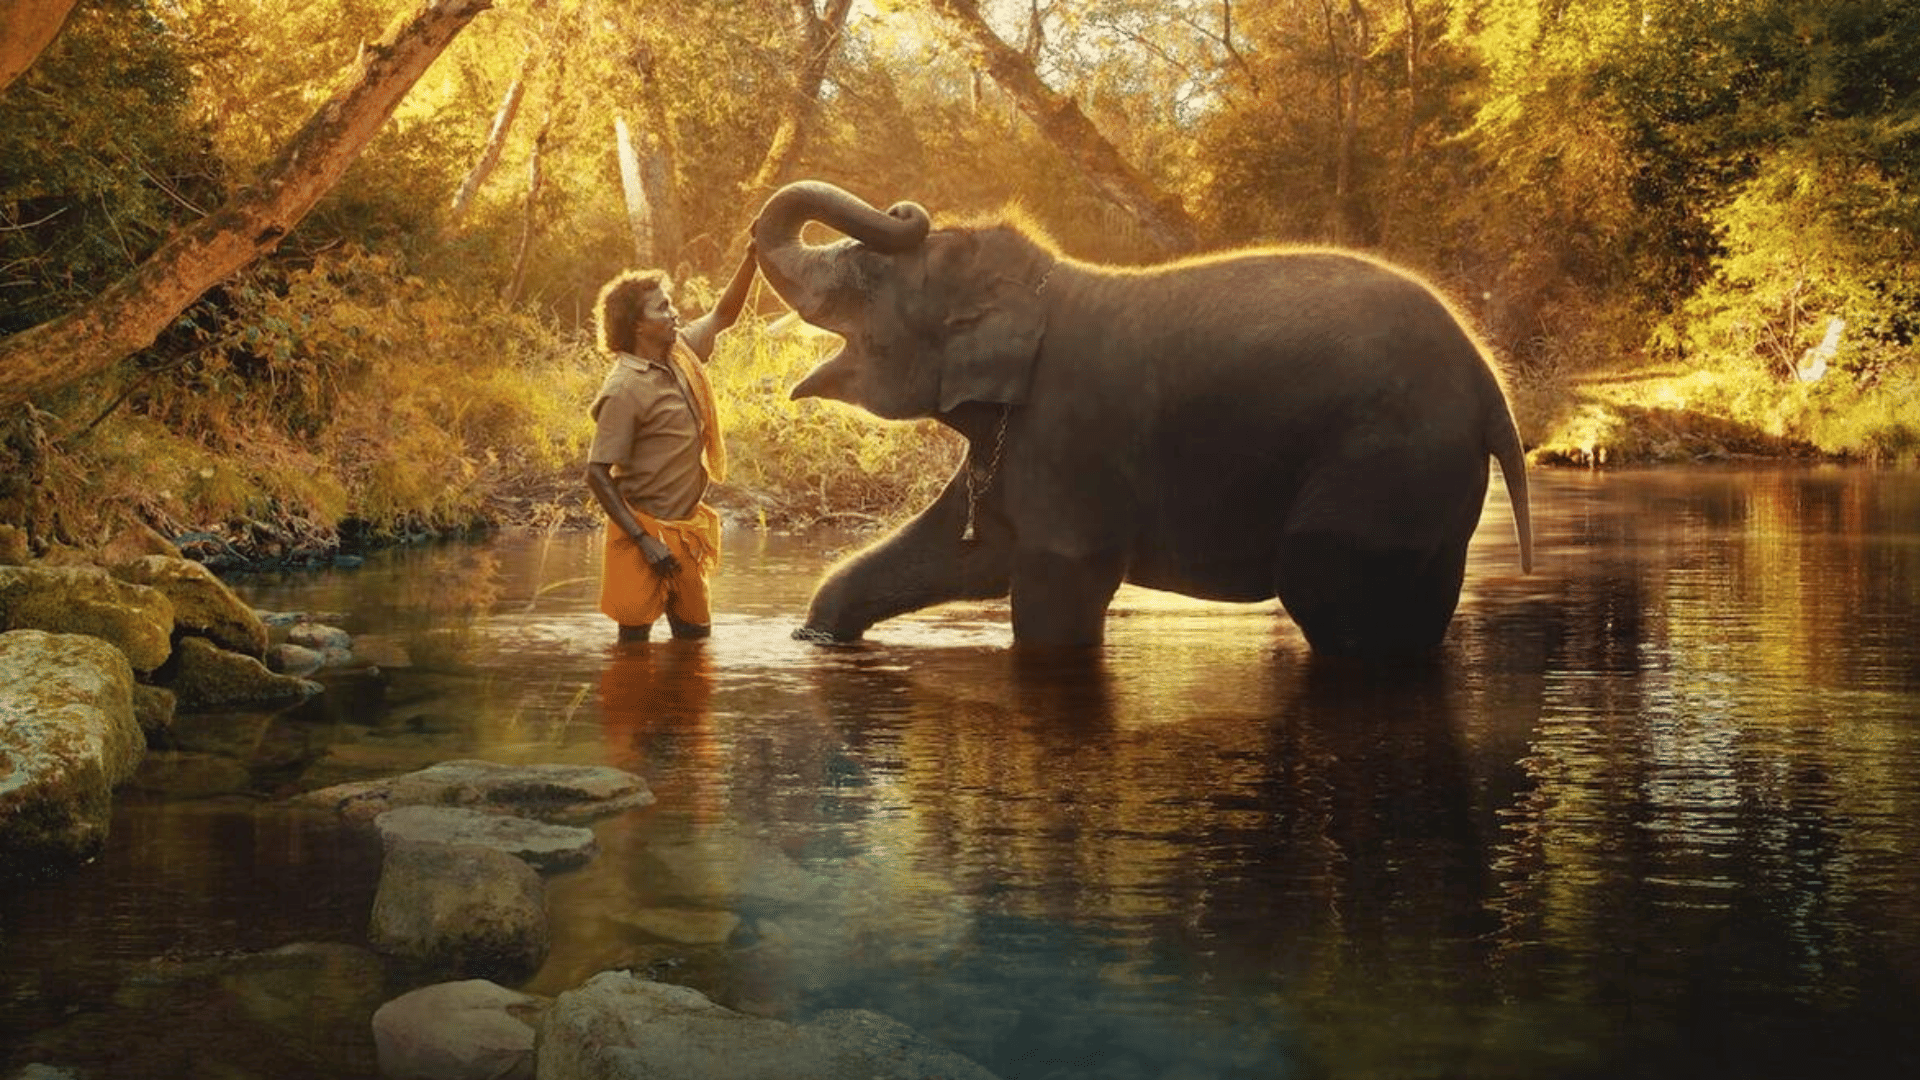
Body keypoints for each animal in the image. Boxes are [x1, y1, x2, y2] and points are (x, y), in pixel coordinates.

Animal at [751, 179, 1534, 657]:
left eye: (866, 278)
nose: (905, 208)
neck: (1041, 286)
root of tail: (1491, 389)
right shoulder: (1019, 442)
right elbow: (963, 553)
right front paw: (817, 637)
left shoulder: (1068, 434)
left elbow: (1056, 589)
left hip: (1385, 461)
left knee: (1326, 591)